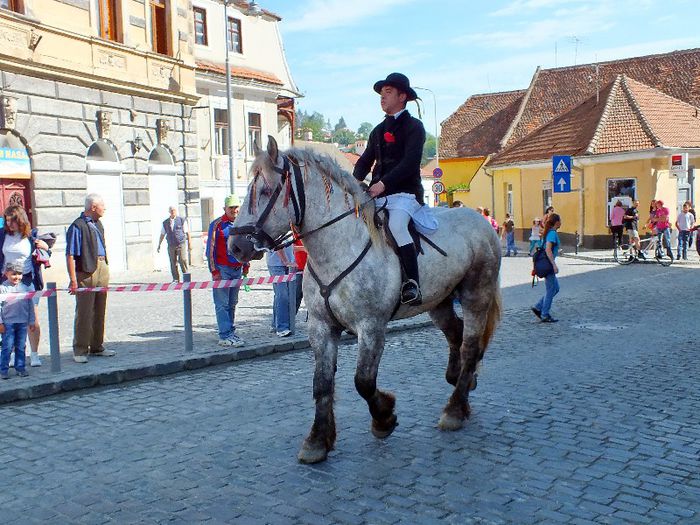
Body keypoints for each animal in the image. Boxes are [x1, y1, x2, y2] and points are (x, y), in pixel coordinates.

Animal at [232, 136, 500, 462]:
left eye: (266, 191)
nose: (235, 246)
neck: (337, 247)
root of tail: (480, 219)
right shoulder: (321, 328)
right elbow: (322, 383)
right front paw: (317, 441)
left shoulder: (371, 327)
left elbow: (363, 381)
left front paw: (384, 417)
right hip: (439, 301)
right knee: (456, 334)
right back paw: (462, 379)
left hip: (476, 294)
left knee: (470, 346)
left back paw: (455, 410)